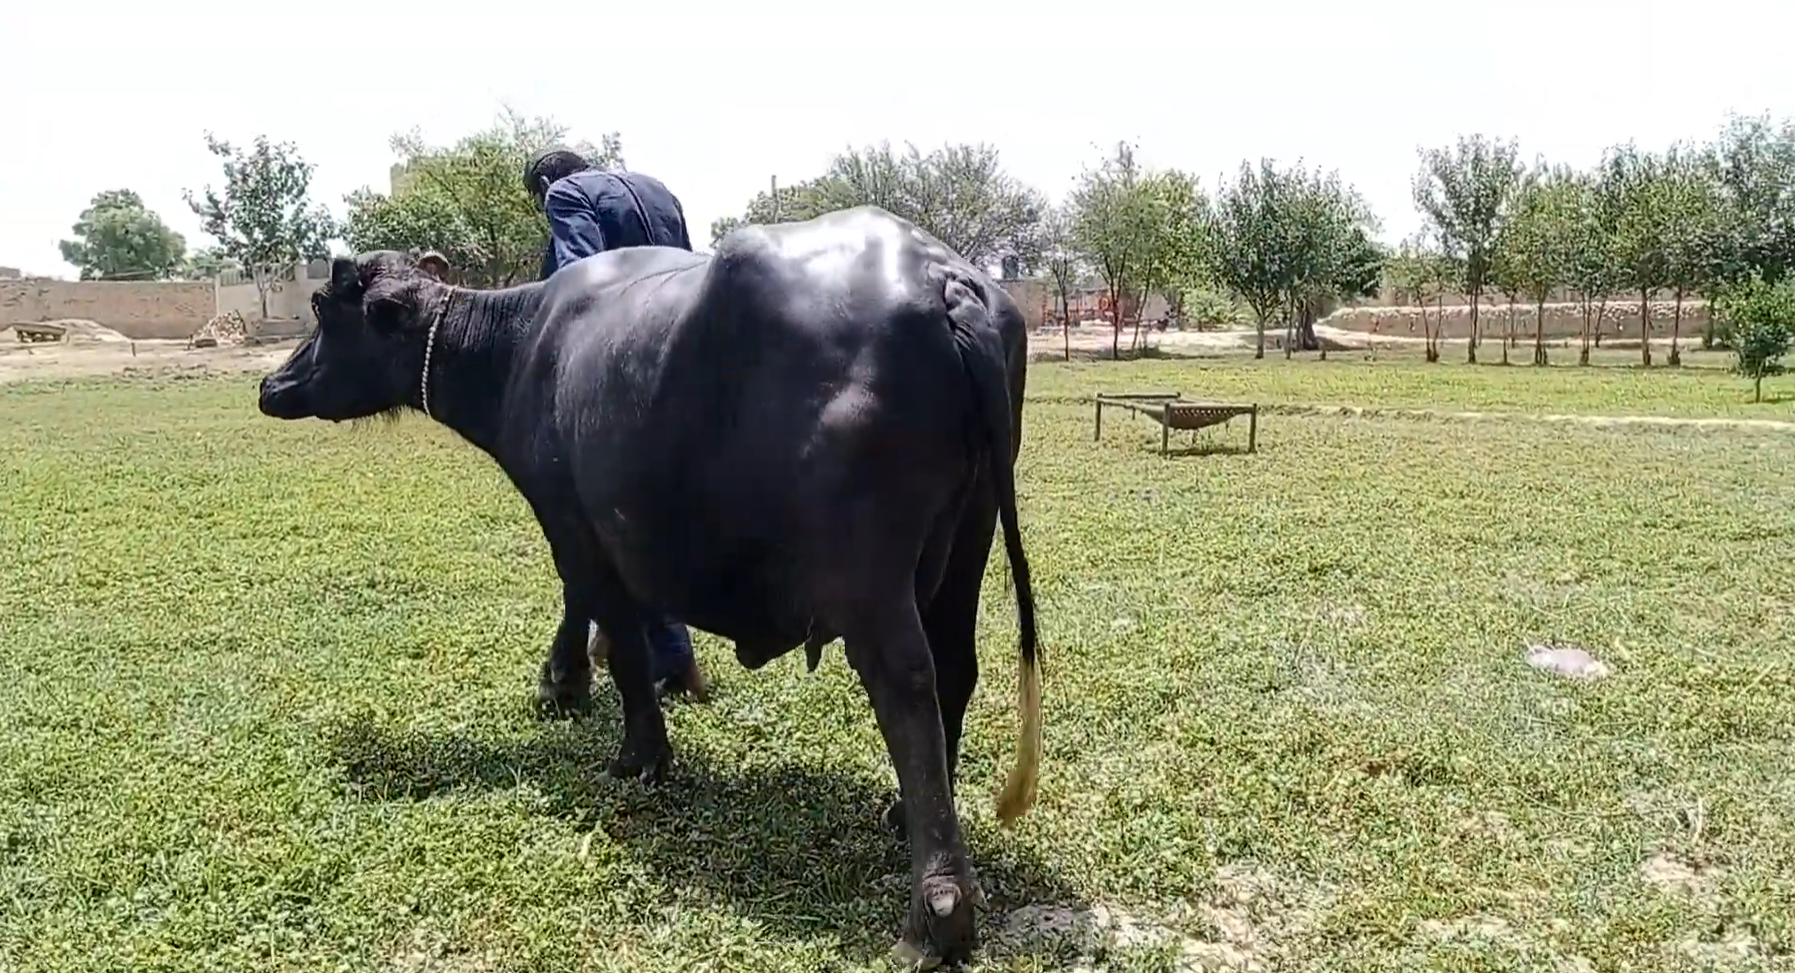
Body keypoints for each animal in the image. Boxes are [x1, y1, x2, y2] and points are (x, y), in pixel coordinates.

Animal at [257, 206, 1042, 966]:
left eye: (324, 306)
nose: (271, 384)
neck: (521, 348)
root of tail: (944, 282)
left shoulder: (571, 517)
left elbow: (616, 632)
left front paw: (633, 747)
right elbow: (596, 612)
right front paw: (569, 681)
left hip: (867, 571)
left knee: (905, 683)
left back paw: (936, 914)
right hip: (968, 536)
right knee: (956, 667)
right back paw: (902, 813)